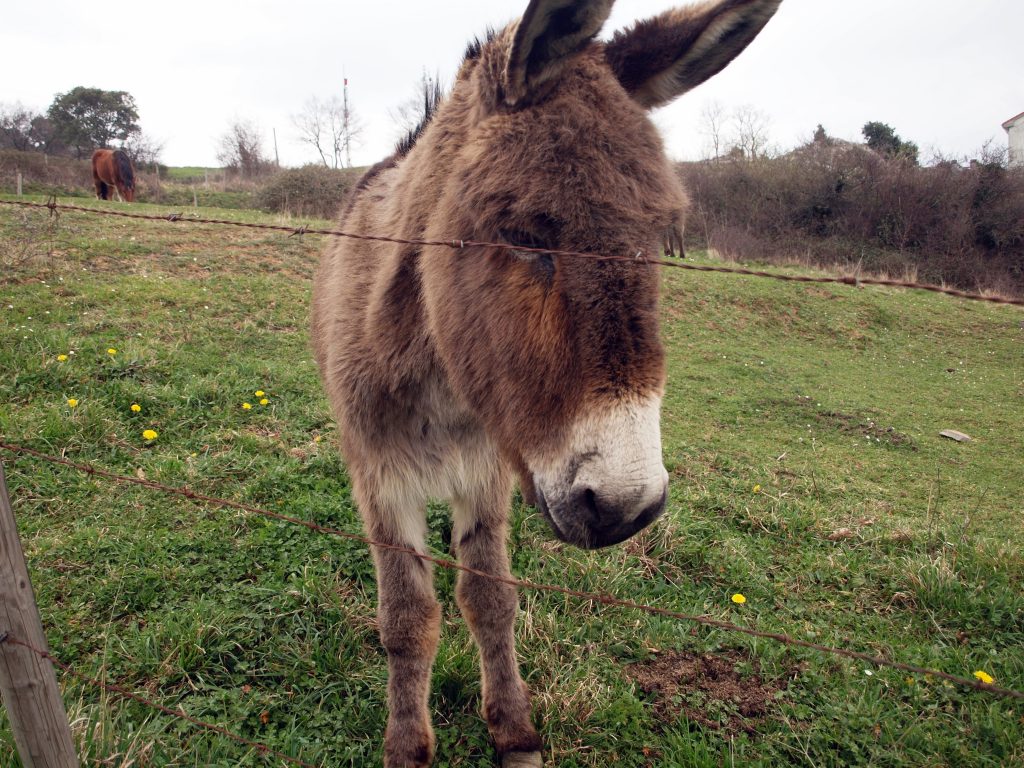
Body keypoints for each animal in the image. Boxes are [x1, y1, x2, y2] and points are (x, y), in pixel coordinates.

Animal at [307, 3, 778, 765]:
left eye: (661, 235)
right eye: (523, 232)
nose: (627, 508)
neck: (440, 381)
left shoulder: (488, 469)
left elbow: (492, 600)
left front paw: (515, 732)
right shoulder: (381, 477)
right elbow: (408, 618)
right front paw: (408, 745)